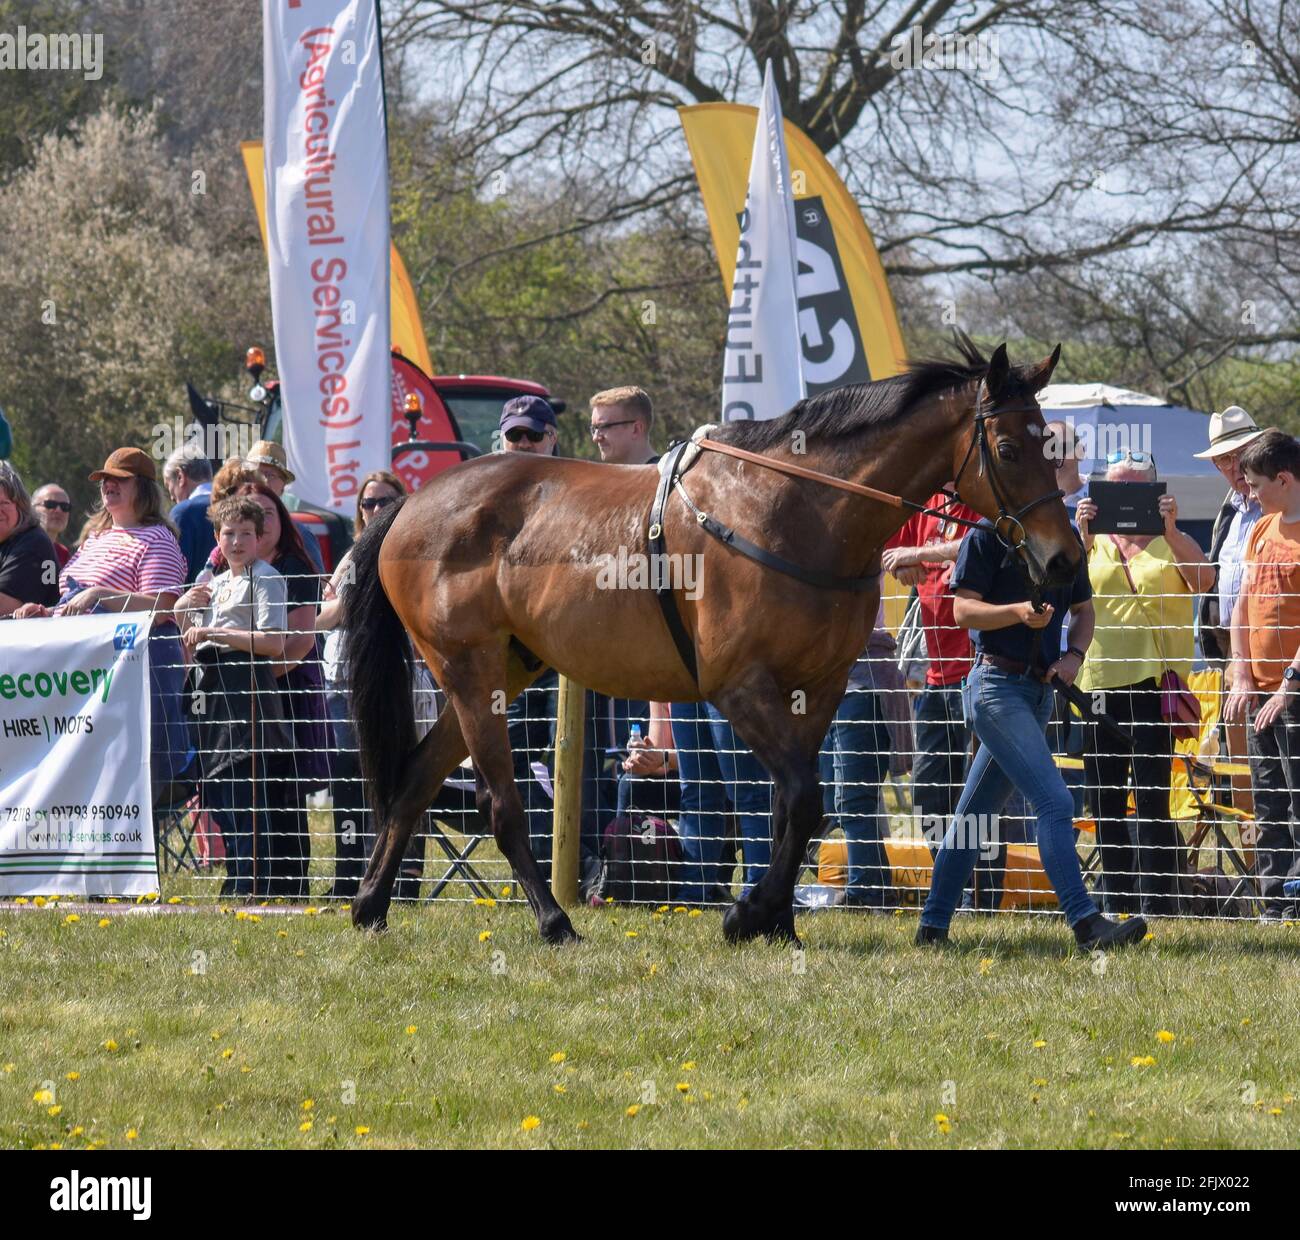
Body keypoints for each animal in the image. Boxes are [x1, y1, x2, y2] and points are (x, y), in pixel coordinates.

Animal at [342, 336, 1078, 944]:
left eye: (1052, 445)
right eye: (1009, 449)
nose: (1065, 559)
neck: (798, 509)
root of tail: (411, 501)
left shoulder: (818, 688)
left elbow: (789, 807)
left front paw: (775, 918)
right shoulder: (740, 687)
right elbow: (804, 797)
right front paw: (749, 913)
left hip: (506, 670)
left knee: (415, 778)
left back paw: (371, 905)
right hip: (471, 674)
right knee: (498, 804)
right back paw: (552, 920)